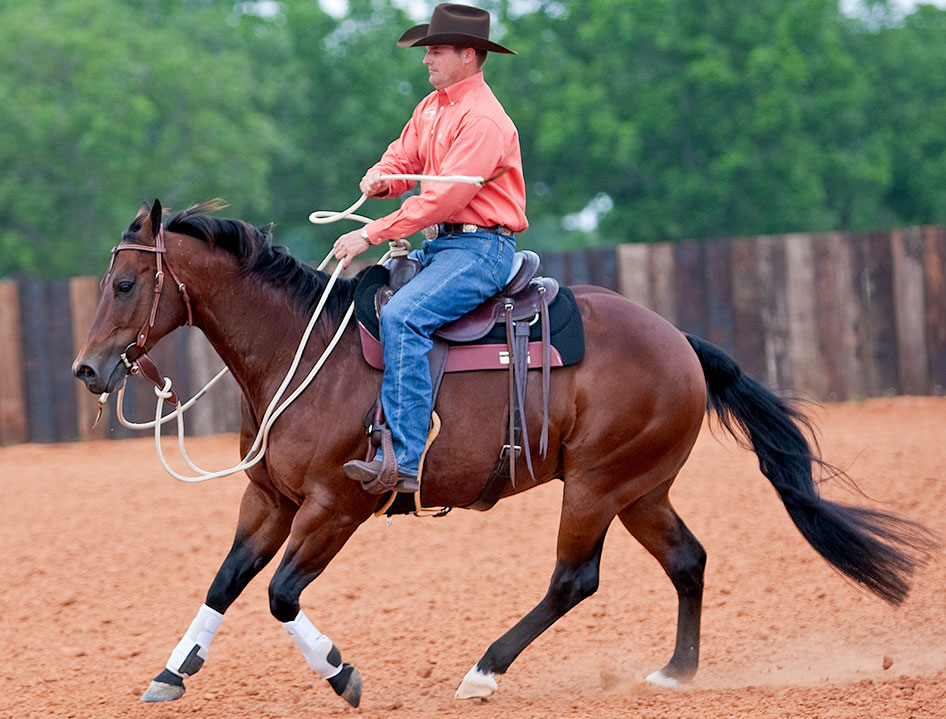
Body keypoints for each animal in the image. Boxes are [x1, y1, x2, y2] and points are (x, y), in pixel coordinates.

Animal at [72, 201, 928, 708]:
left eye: (126, 283)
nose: (87, 370)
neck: (303, 351)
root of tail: (681, 341)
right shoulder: (269, 498)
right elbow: (226, 580)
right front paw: (171, 671)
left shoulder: (335, 504)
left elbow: (281, 593)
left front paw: (343, 673)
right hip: (641, 488)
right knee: (688, 558)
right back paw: (674, 671)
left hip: (595, 485)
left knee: (574, 578)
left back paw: (485, 669)